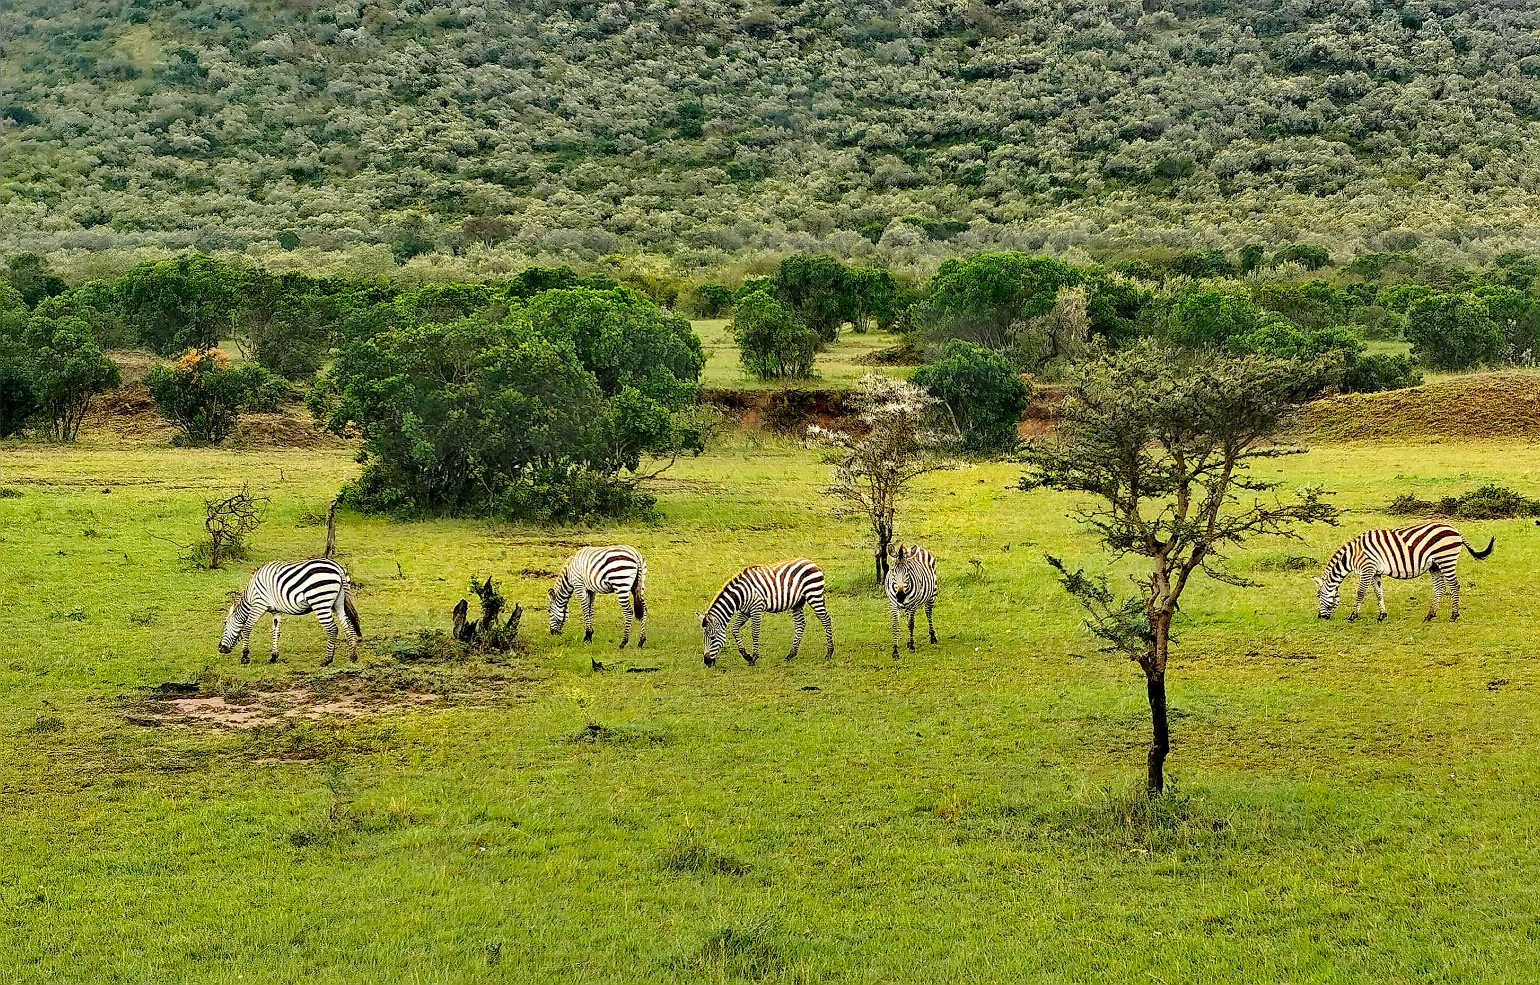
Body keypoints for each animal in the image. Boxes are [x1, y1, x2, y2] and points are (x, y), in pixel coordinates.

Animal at [220, 557, 360, 664]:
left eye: (225, 623)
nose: (220, 648)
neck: (250, 595)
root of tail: (338, 567)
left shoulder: (258, 605)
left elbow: (246, 628)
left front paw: (245, 656)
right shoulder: (276, 611)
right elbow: (275, 632)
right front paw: (273, 656)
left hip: (320, 601)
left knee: (332, 629)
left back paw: (327, 660)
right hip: (339, 603)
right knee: (347, 625)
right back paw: (352, 656)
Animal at [705, 557, 837, 664]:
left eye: (712, 638)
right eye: (704, 638)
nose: (706, 662)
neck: (740, 595)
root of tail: (811, 562)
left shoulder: (756, 608)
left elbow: (754, 632)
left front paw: (754, 657)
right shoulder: (745, 611)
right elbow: (734, 628)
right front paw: (746, 655)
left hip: (814, 594)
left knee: (825, 619)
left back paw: (829, 653)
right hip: (798, 602)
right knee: (800, 624)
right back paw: (790, 655)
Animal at [1312, 523, 1490, 621]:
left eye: (1319, 596)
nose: (1320, 617)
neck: (1351, 555)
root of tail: (1455, 530)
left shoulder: (1367, 568)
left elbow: (1360, 593)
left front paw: (1352, 616)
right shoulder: (1375, 572)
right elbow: (1378, 593)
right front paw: (1382, 615)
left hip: (1446, 559)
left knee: (1454, 586)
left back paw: (1454, 615)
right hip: (1435, 565)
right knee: (1440, 587)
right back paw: (1430, 615)